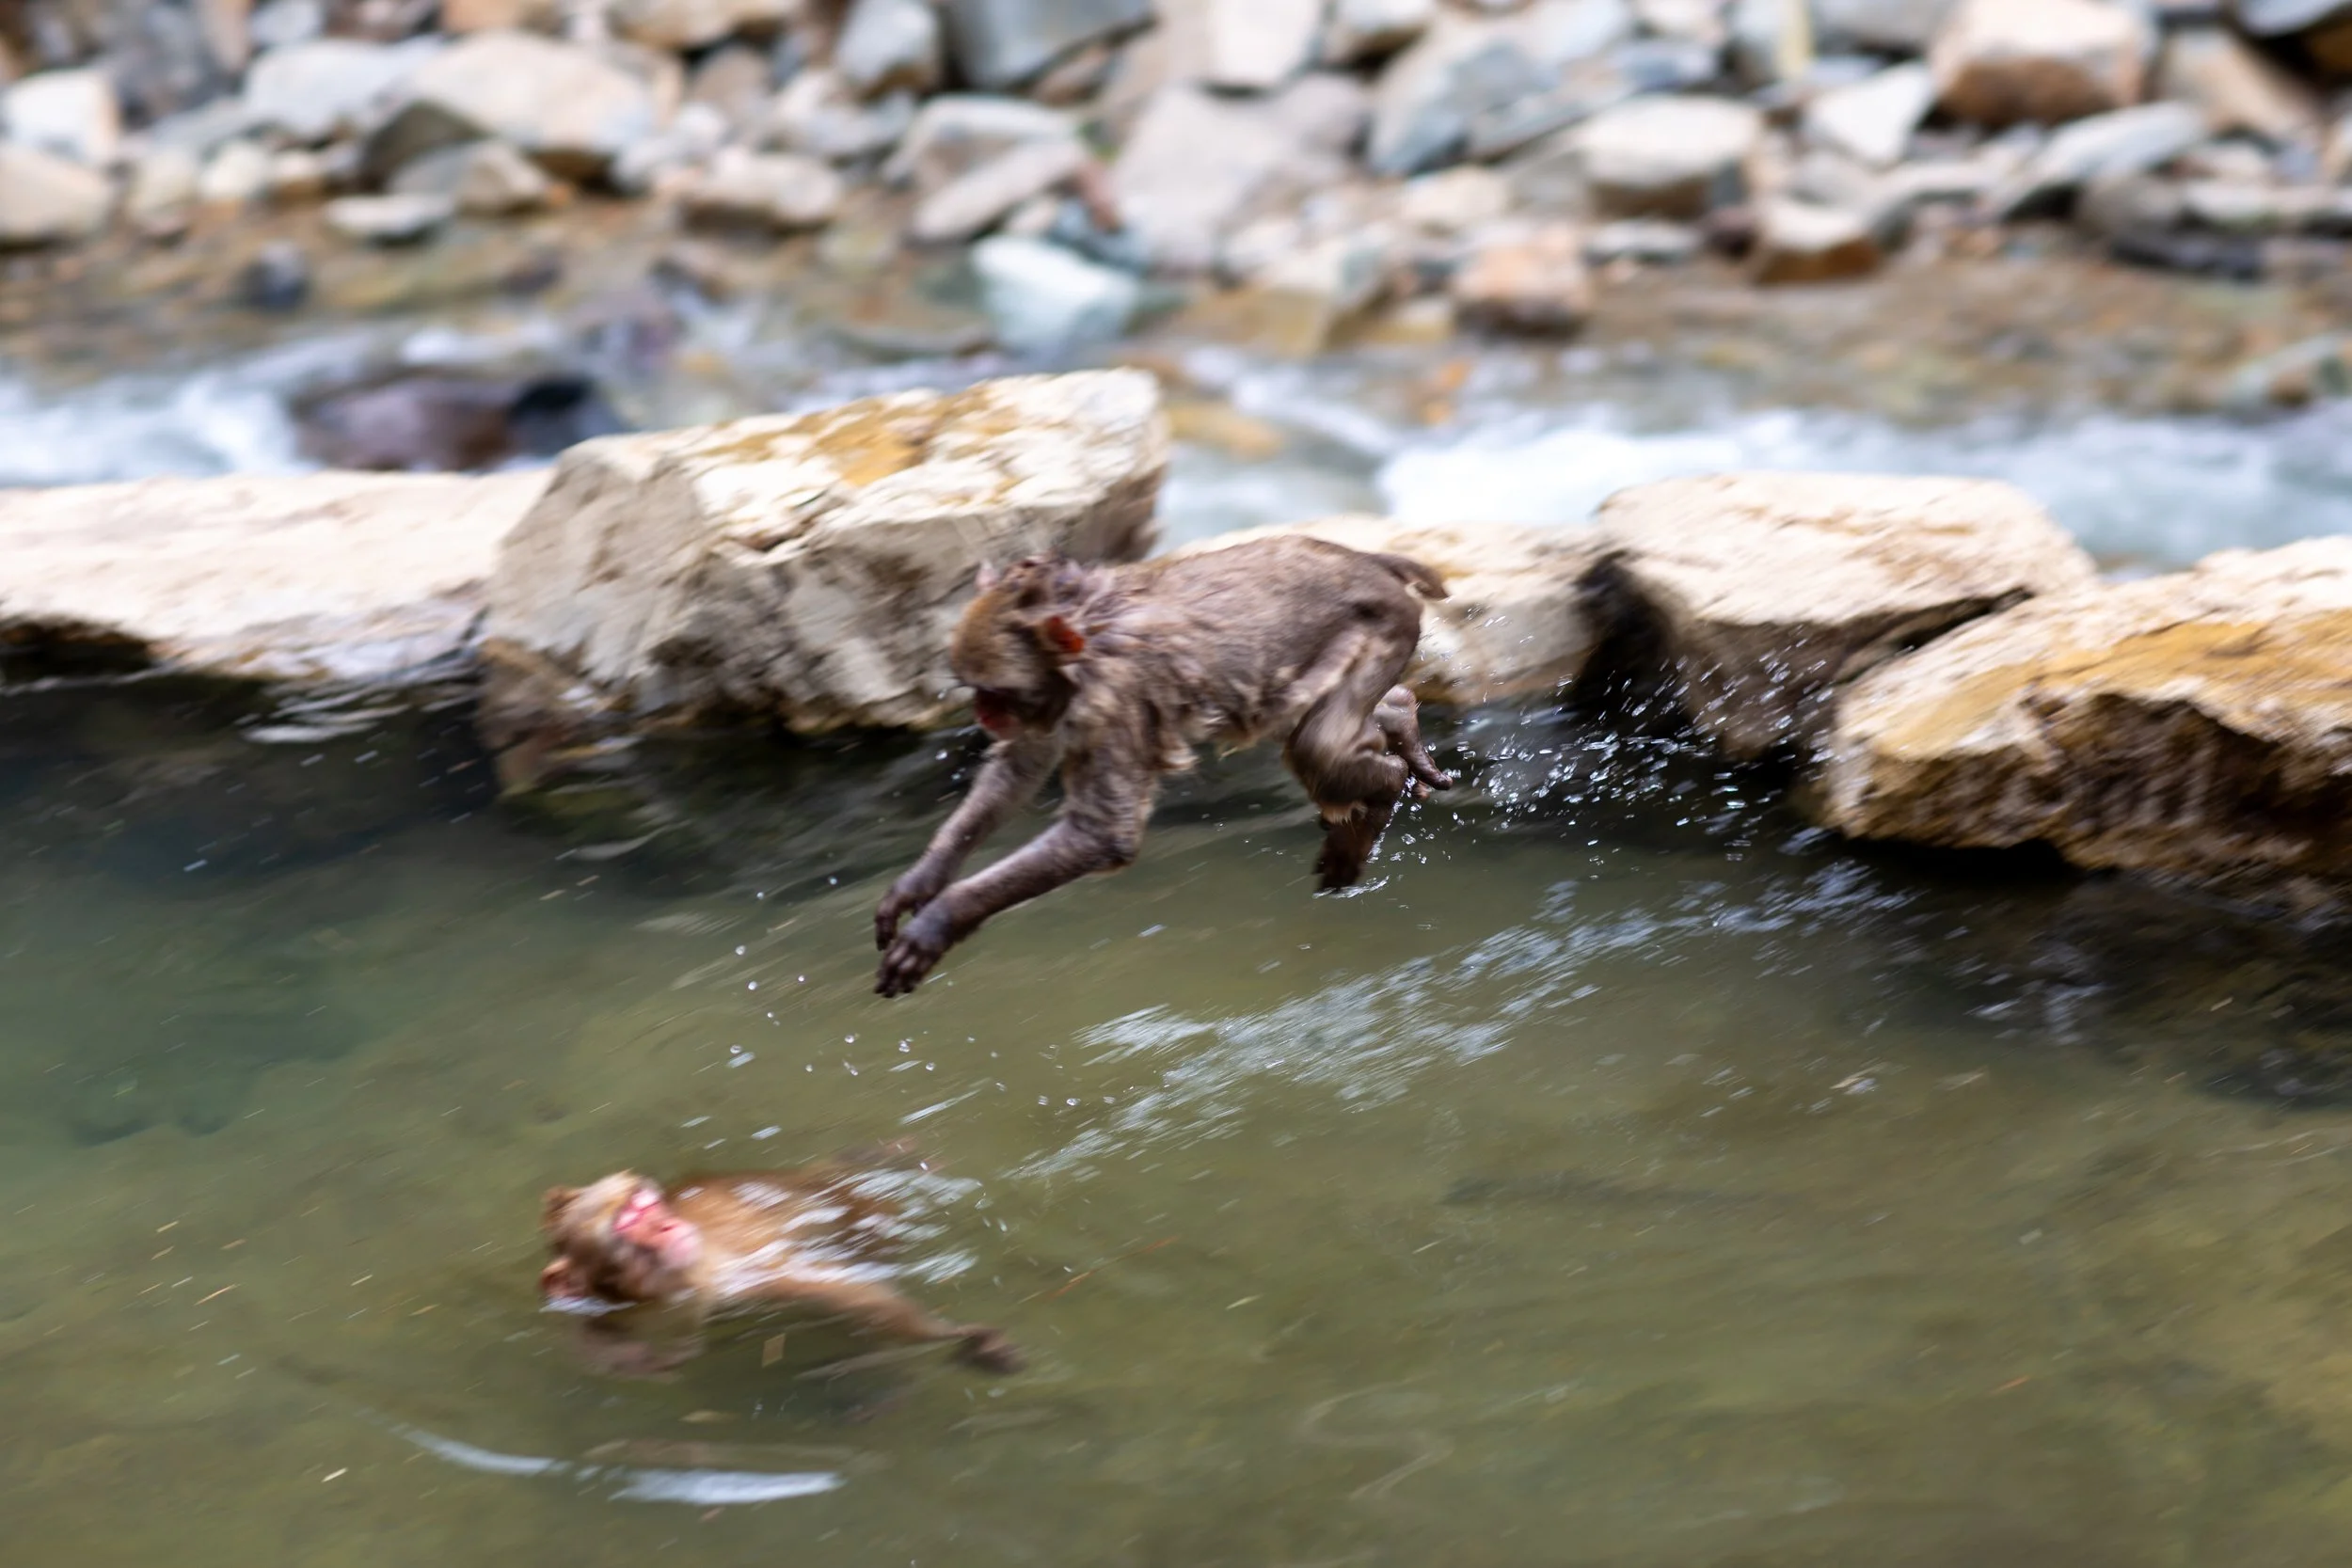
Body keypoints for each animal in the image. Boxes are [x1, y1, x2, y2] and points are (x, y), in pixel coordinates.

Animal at [538, 1166, 1021, 1376]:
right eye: (629, 1221)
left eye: (648, 1205)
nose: (668, 1225)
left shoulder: (742, 1275)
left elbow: (856, 1295)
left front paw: (959, 1334)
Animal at [875, 535, 1454, 998]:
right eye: (977, 692)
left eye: (994, 693)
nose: (982, 713)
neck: (1089, 637)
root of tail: (1367, 561)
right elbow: (1019, 770)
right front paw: (920, 883)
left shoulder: (1117, 697)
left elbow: (1104, 833)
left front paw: (940, 920)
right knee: (1313, 729)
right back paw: (1400, 721)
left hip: (1383, 628)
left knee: (1318, 748)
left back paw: (1382, 793)